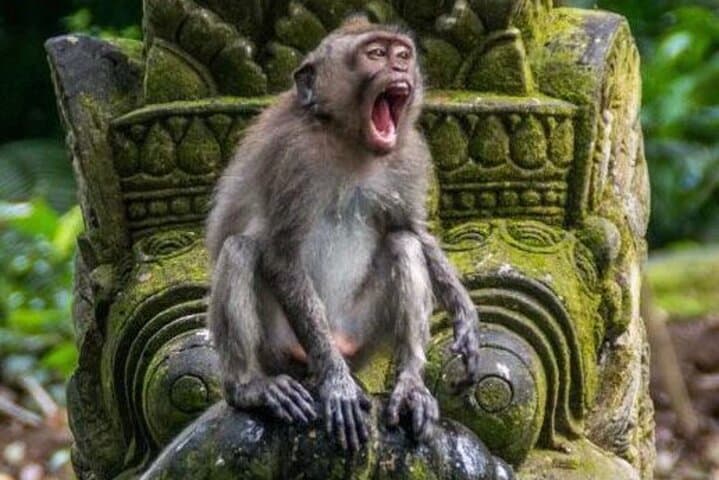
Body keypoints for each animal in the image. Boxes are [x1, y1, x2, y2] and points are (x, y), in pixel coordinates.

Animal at [206, 16, 481, 452]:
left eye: (402, 53)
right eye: (376, 54)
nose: (400, 66)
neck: (349, 142)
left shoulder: (409, 155)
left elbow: (412, 231)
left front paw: (465, 315)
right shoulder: (293, 156)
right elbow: (281, 254)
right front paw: (337, 385)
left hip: (359, 335)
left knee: (402, 245)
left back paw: (409, 386)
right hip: (281, 346)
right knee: (240, 250)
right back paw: (252, 387)